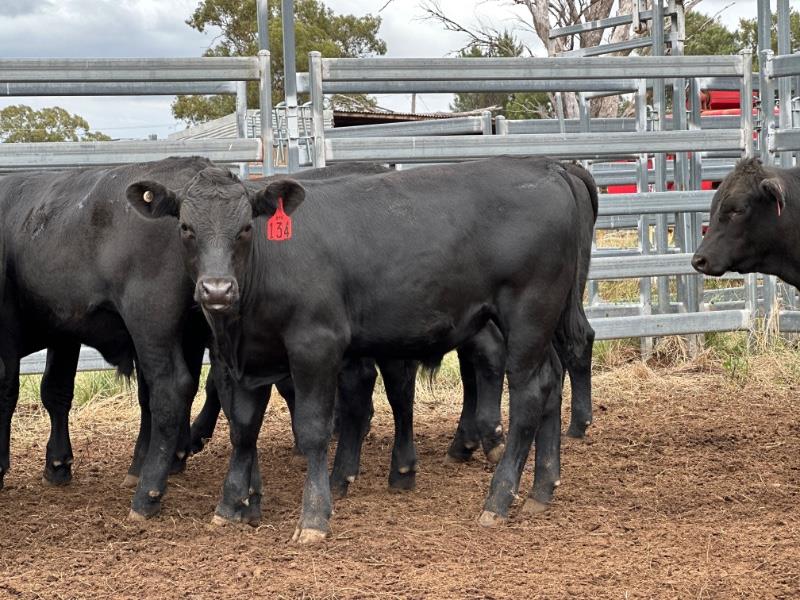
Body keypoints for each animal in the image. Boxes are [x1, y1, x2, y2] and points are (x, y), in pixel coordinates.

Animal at [130, 156, 592, 544]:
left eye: (245, 228)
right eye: (186, 229)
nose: (217, 290)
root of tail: (549, 167)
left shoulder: (315, 344)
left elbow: (313, 430)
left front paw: (314, 517)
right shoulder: (244, 360)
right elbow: (243, 428)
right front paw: (229, 506)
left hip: (529, 314)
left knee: (530, 395)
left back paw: (498, 499)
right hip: (543, 323)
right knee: (552, 383)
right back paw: (541, 489)